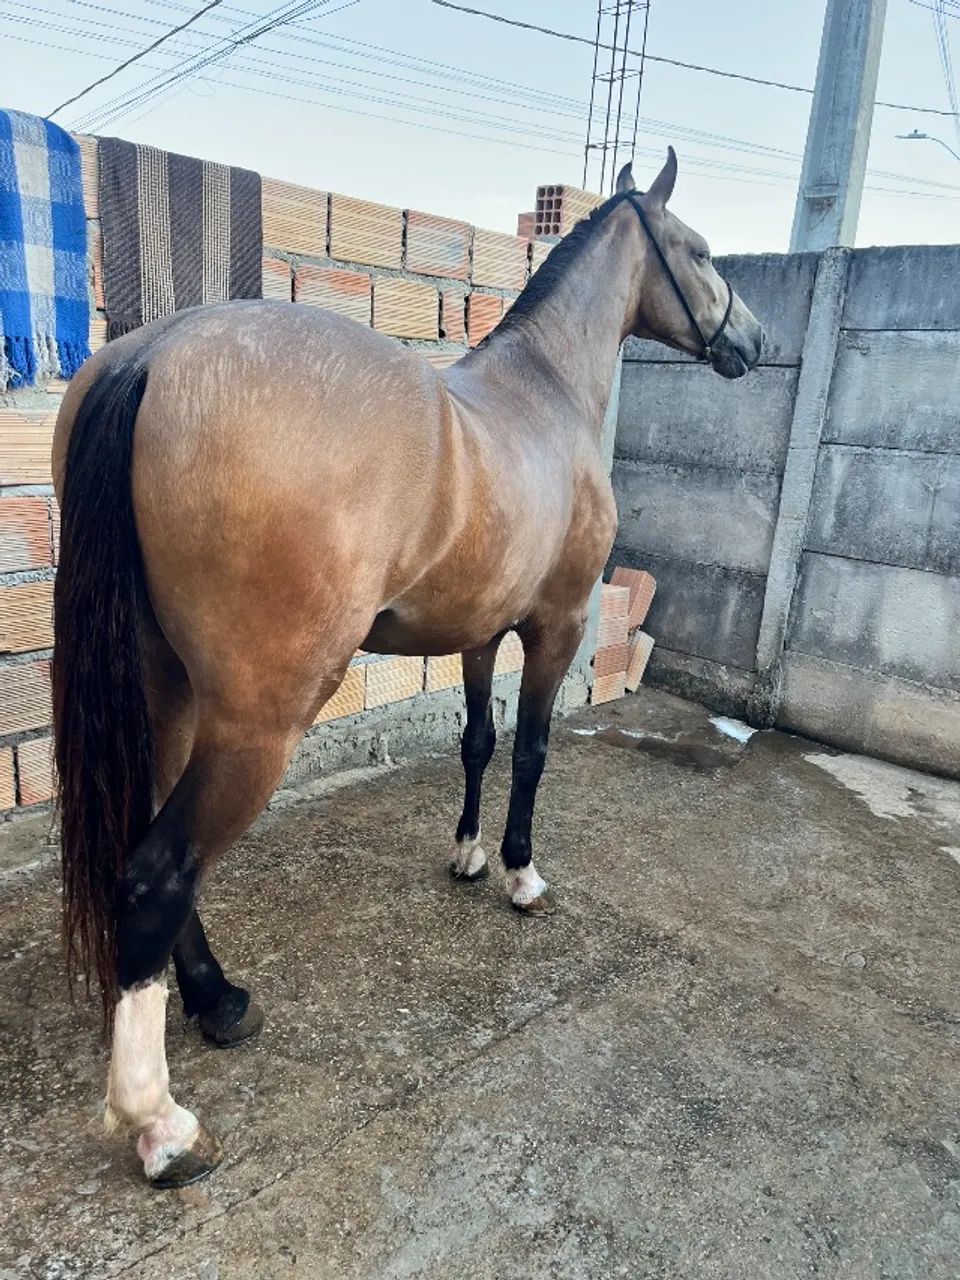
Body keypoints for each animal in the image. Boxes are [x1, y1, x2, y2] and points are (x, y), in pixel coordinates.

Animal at [51, 150, 764, 1188]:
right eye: (703, 253)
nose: (752, 340)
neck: (543, 393)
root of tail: (158, 354)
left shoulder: (478, 631)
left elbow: (477, 740)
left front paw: (466, 855)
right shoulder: (555, 626)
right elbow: (533, 749)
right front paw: (519, 874)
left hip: (167, 688)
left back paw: (218, 1002)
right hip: (258, 720)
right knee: (159, 867)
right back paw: (161, 1124)